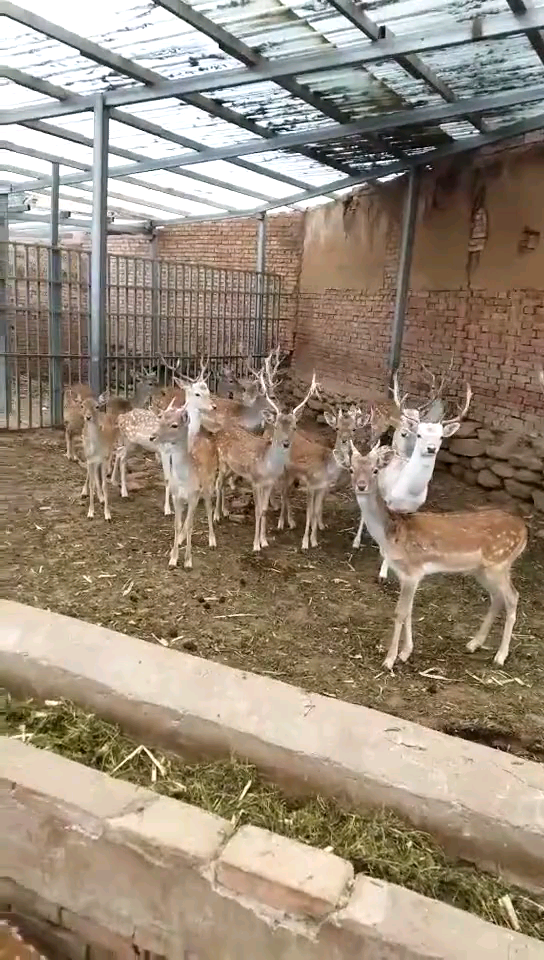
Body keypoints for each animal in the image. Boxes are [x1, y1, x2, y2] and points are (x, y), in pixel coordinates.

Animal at [212, 372, 318, 552]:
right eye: (276, 427)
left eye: (294, 427)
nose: (286, 443)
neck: (268, 467)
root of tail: (221, 430)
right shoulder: (255, 481)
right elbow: (256, 511)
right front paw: (255, 545)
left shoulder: (269, 483)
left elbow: (264, 510)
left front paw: (264, 541)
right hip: (223, 461)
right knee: (218, 483)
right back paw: (217, 515)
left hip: (233, 468)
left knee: (224, 483)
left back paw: (224, 511)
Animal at [336, 440, 528, 672]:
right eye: (351, 469)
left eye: (375, 470)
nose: (361, 485)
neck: (391, 535)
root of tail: (524, 531)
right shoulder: (405, 574)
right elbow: (409, 611)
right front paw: (405, 653)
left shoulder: (412, 571)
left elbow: (400, 612)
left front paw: (389, 660)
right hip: (482, 569)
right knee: (498, 597)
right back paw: (474, 643)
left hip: (499, 563)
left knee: (512, 597)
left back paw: (500, 656)